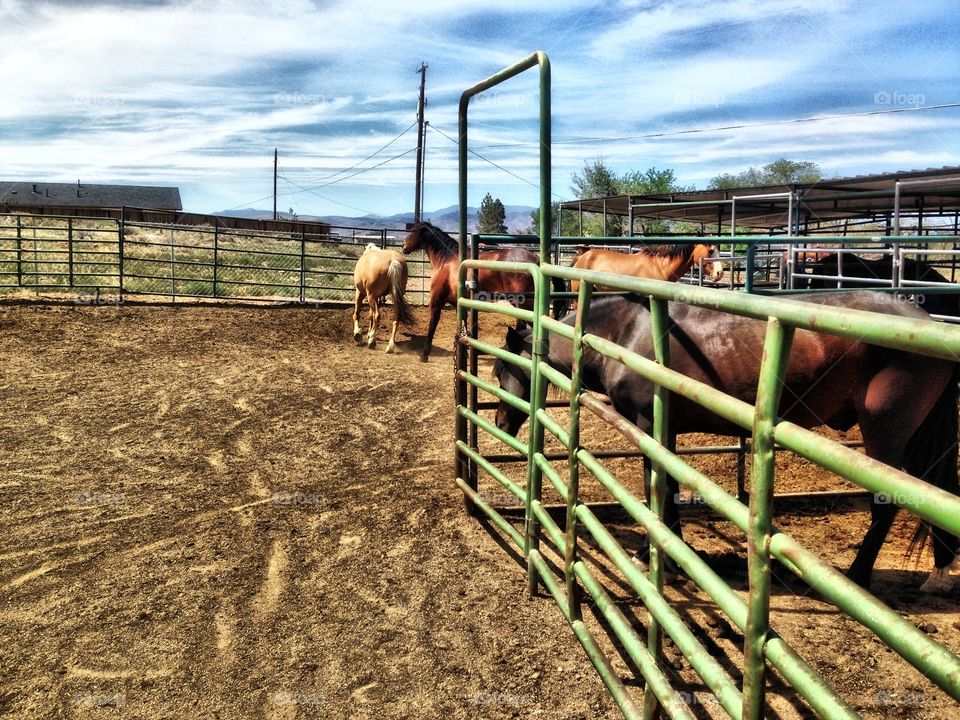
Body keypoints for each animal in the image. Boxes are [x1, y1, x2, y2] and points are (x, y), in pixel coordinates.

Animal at [400, 219, 568, 362]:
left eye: (413, 231)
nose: (403, 247)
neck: (447, 261)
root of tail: (535, 259)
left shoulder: (436, 302)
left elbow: (431, 327)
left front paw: (424, 354)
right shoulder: (459, 304)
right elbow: (462, 326)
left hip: (522, 304)